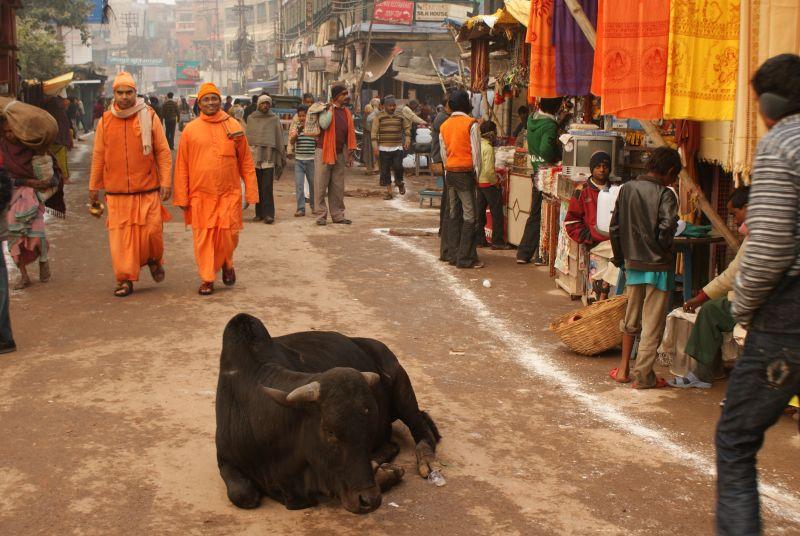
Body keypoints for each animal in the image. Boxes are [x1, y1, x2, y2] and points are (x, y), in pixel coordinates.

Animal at [216, 314, 440, 516]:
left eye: (369, 428)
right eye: (330, 431)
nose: (370, 500)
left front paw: (384, 475)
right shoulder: (224, 459)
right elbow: (243, 495)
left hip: (402, 390)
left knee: (421, 429)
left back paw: (427, 461)